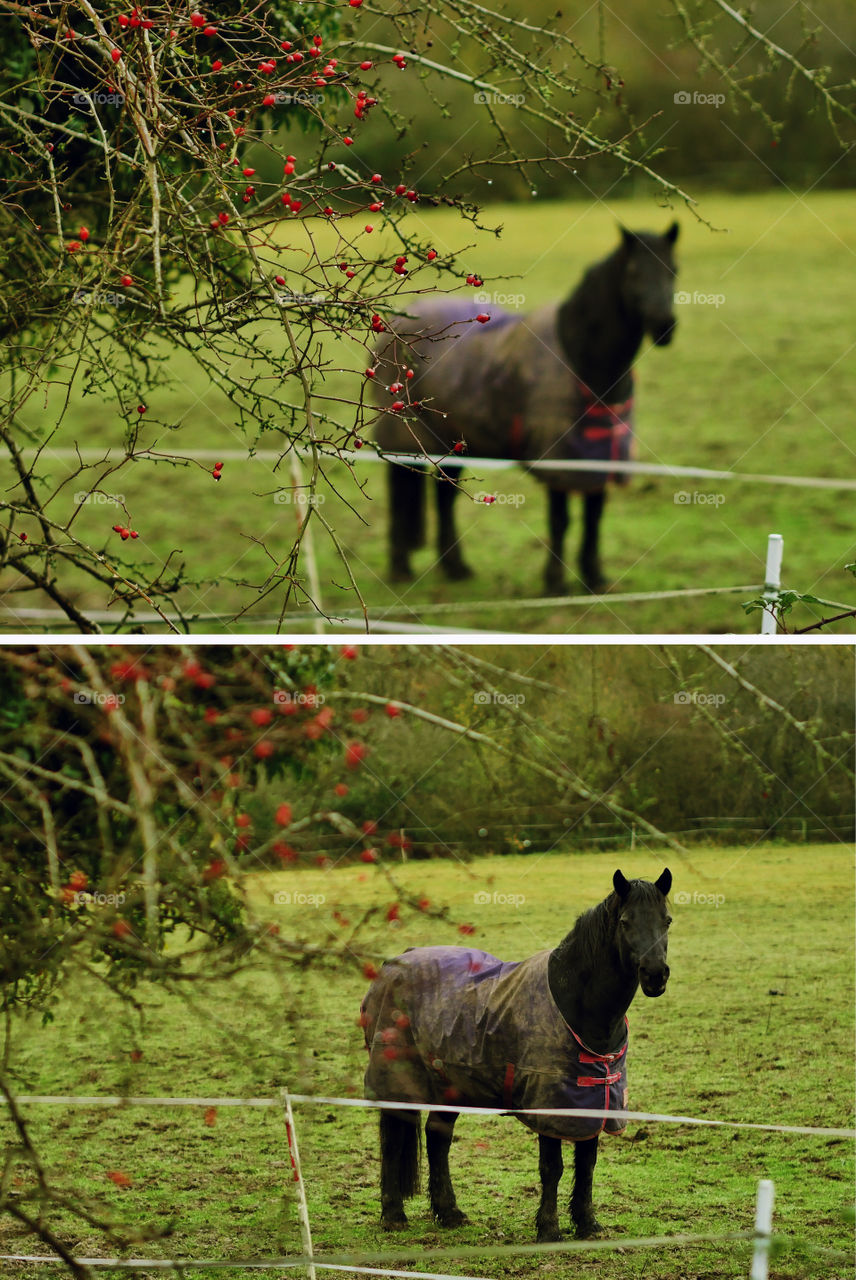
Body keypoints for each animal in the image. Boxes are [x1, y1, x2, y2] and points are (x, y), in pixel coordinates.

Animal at [358, 870, 670, 1239]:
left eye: (667, 920)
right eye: (625, 922)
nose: (656, 975)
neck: (577, 1005)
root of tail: (393, 965)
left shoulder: (594, 1101)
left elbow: (587, 1163)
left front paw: (587, 1224)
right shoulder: (550, 1104)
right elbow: (553, 1167)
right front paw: (549, 1229)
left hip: (451, 1084)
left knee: (437, 1138)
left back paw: (449, 1213)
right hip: (399, 1080)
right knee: (394, 1142)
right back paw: (394, 1215)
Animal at [371, 225, 675, 593]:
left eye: (673, 271)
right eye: (633, 273)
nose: (666, 327)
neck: (585, 361)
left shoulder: (599, 460)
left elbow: (593, 517)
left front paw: (594, 578)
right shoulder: (559, 461)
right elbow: (561, 520)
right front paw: (555, 582)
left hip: (449, 444)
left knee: (444, 500)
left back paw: (456, 568)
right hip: (402, 438)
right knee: (399, 497)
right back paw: (401, 567)